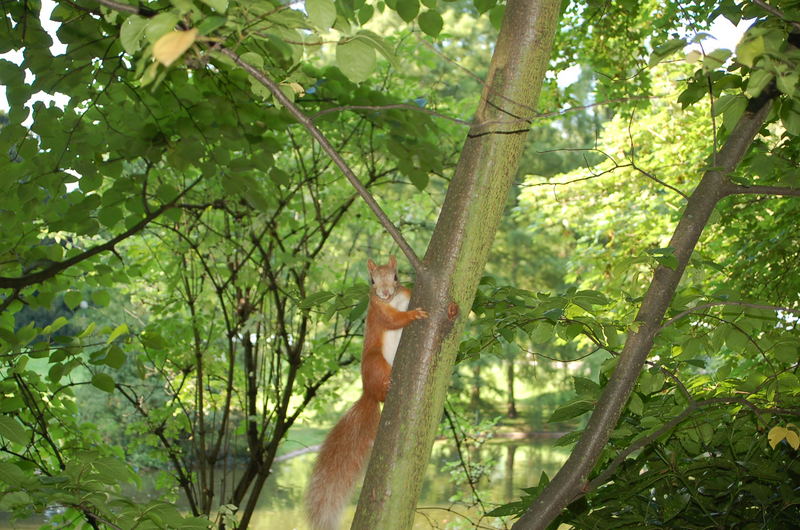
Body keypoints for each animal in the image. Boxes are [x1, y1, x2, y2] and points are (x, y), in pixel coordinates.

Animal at [308, 256, 432, 528]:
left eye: (395, 277)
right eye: (372, 281)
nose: (384, 293)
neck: (392, 301)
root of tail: (369, 393)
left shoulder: (405, 295)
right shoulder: (379, 312)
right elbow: (395, 320)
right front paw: (413, 314)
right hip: (376, 363)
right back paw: (388, 384)